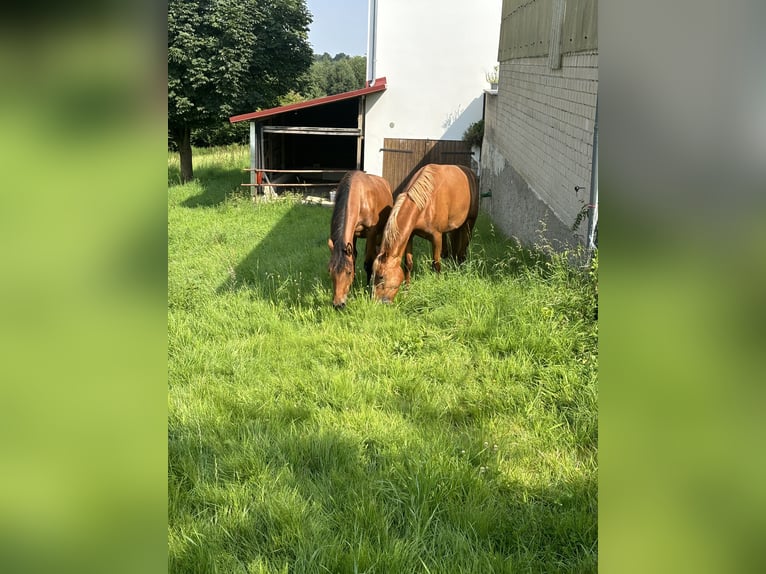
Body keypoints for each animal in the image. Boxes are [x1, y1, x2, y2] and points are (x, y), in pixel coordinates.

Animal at [328, 171, 392, 310]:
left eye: (348, 272)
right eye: (330, 271)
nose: (338, 304)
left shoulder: (371, 233)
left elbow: (369, 263)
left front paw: (368, 288)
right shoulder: (352, 235)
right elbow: (353, 257)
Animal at [372, 163, 480, 306]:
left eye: (381, 277)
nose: (376, 303)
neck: (425, 202)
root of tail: (472, 173)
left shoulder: (437, 237)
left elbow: (436, 264)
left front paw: (438, 286)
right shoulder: (410, 235)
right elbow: (408, 265)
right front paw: (406, 293)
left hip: (469, 224)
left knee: (462, 251)